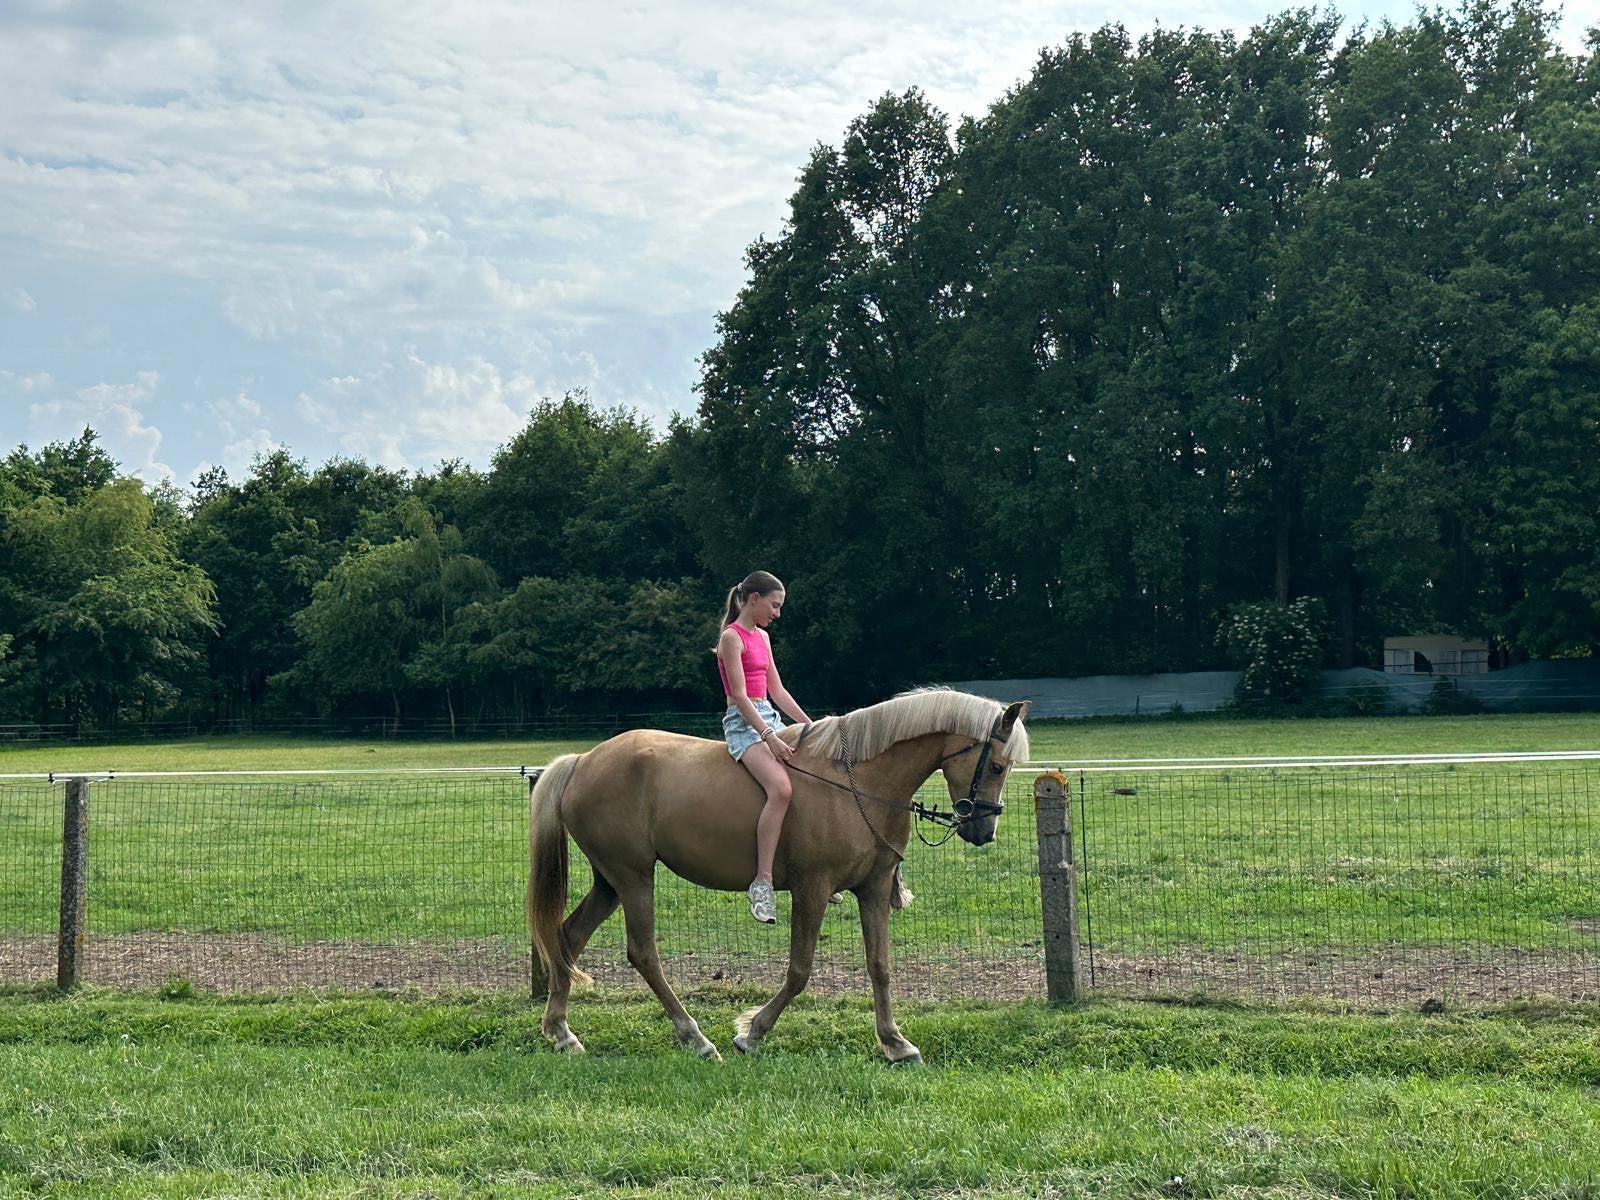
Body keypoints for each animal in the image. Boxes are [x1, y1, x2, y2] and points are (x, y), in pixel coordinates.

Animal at [526, 687, 1031, 1064]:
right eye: (997, 765)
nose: (984, 830)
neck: (857, 782)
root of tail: (583, 761)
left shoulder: (871, 889)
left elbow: (880, 966)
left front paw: (895, 1042)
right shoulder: (813, 889)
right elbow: (800, 969)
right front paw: (752, 1033)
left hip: (610, 882)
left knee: (568, 937)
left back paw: (561, 1031)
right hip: (634, 879)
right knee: (643, 953)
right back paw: (696, 1038)